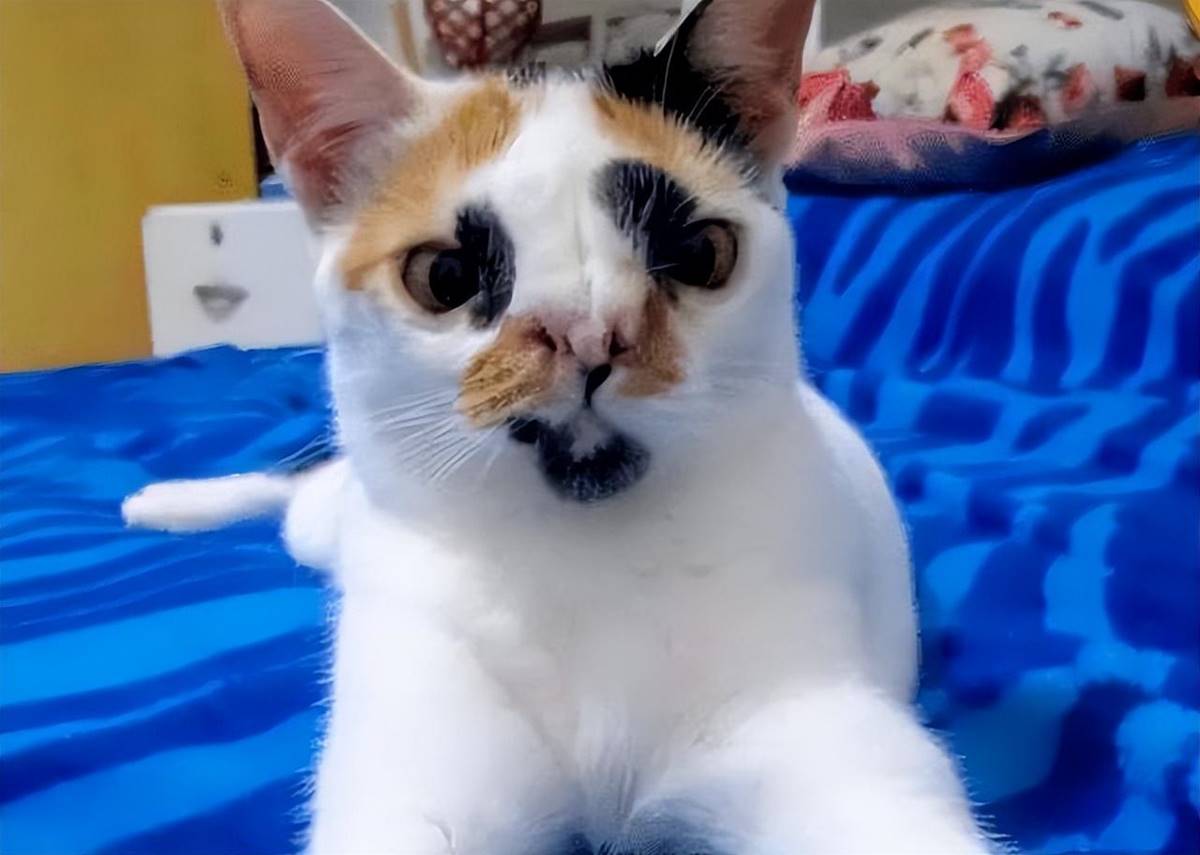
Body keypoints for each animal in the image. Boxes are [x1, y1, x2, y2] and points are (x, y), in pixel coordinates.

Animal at [123, 0, 995, 852]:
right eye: (444, 274)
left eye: (701, 253)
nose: (589, 335)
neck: (584, 565)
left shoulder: (823, 727)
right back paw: (168, 502)